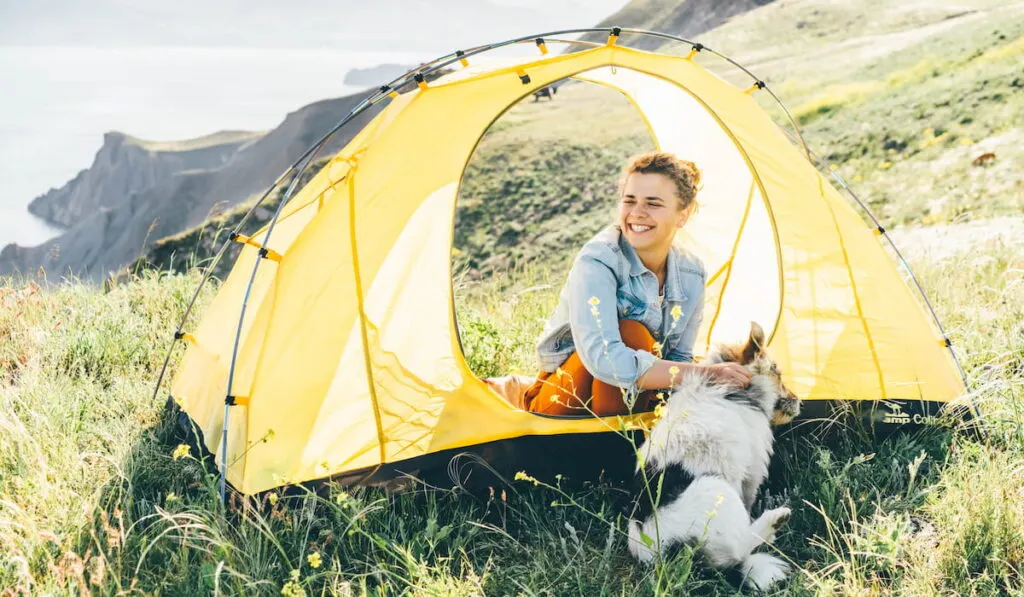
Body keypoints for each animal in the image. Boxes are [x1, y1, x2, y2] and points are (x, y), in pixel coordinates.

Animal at [622, 321, 798, 589]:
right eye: (777, 373)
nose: (799, 401)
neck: (736, 390)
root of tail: (662, 557)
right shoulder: (752, 472)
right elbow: (748, 501)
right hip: (712, 487)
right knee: (741, 547)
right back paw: (775, 519)